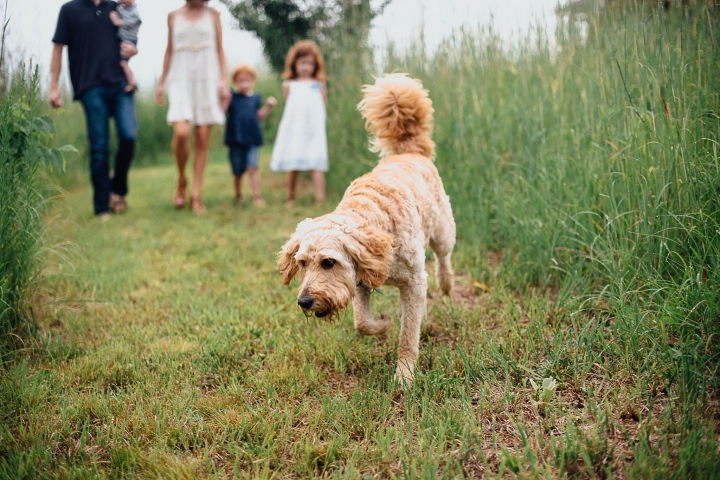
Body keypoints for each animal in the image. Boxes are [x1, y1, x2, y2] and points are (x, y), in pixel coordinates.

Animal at [278, 73, 456, 384]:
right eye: (302, 263)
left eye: (328, 262)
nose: (304, 301)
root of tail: (408, 151)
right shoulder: (361, 281)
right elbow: (362, 322)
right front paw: (383, 324)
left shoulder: (414, 281)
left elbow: (408, 335)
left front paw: (404, 374)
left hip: (442, 231)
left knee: (443, 258)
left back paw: (445, 284)